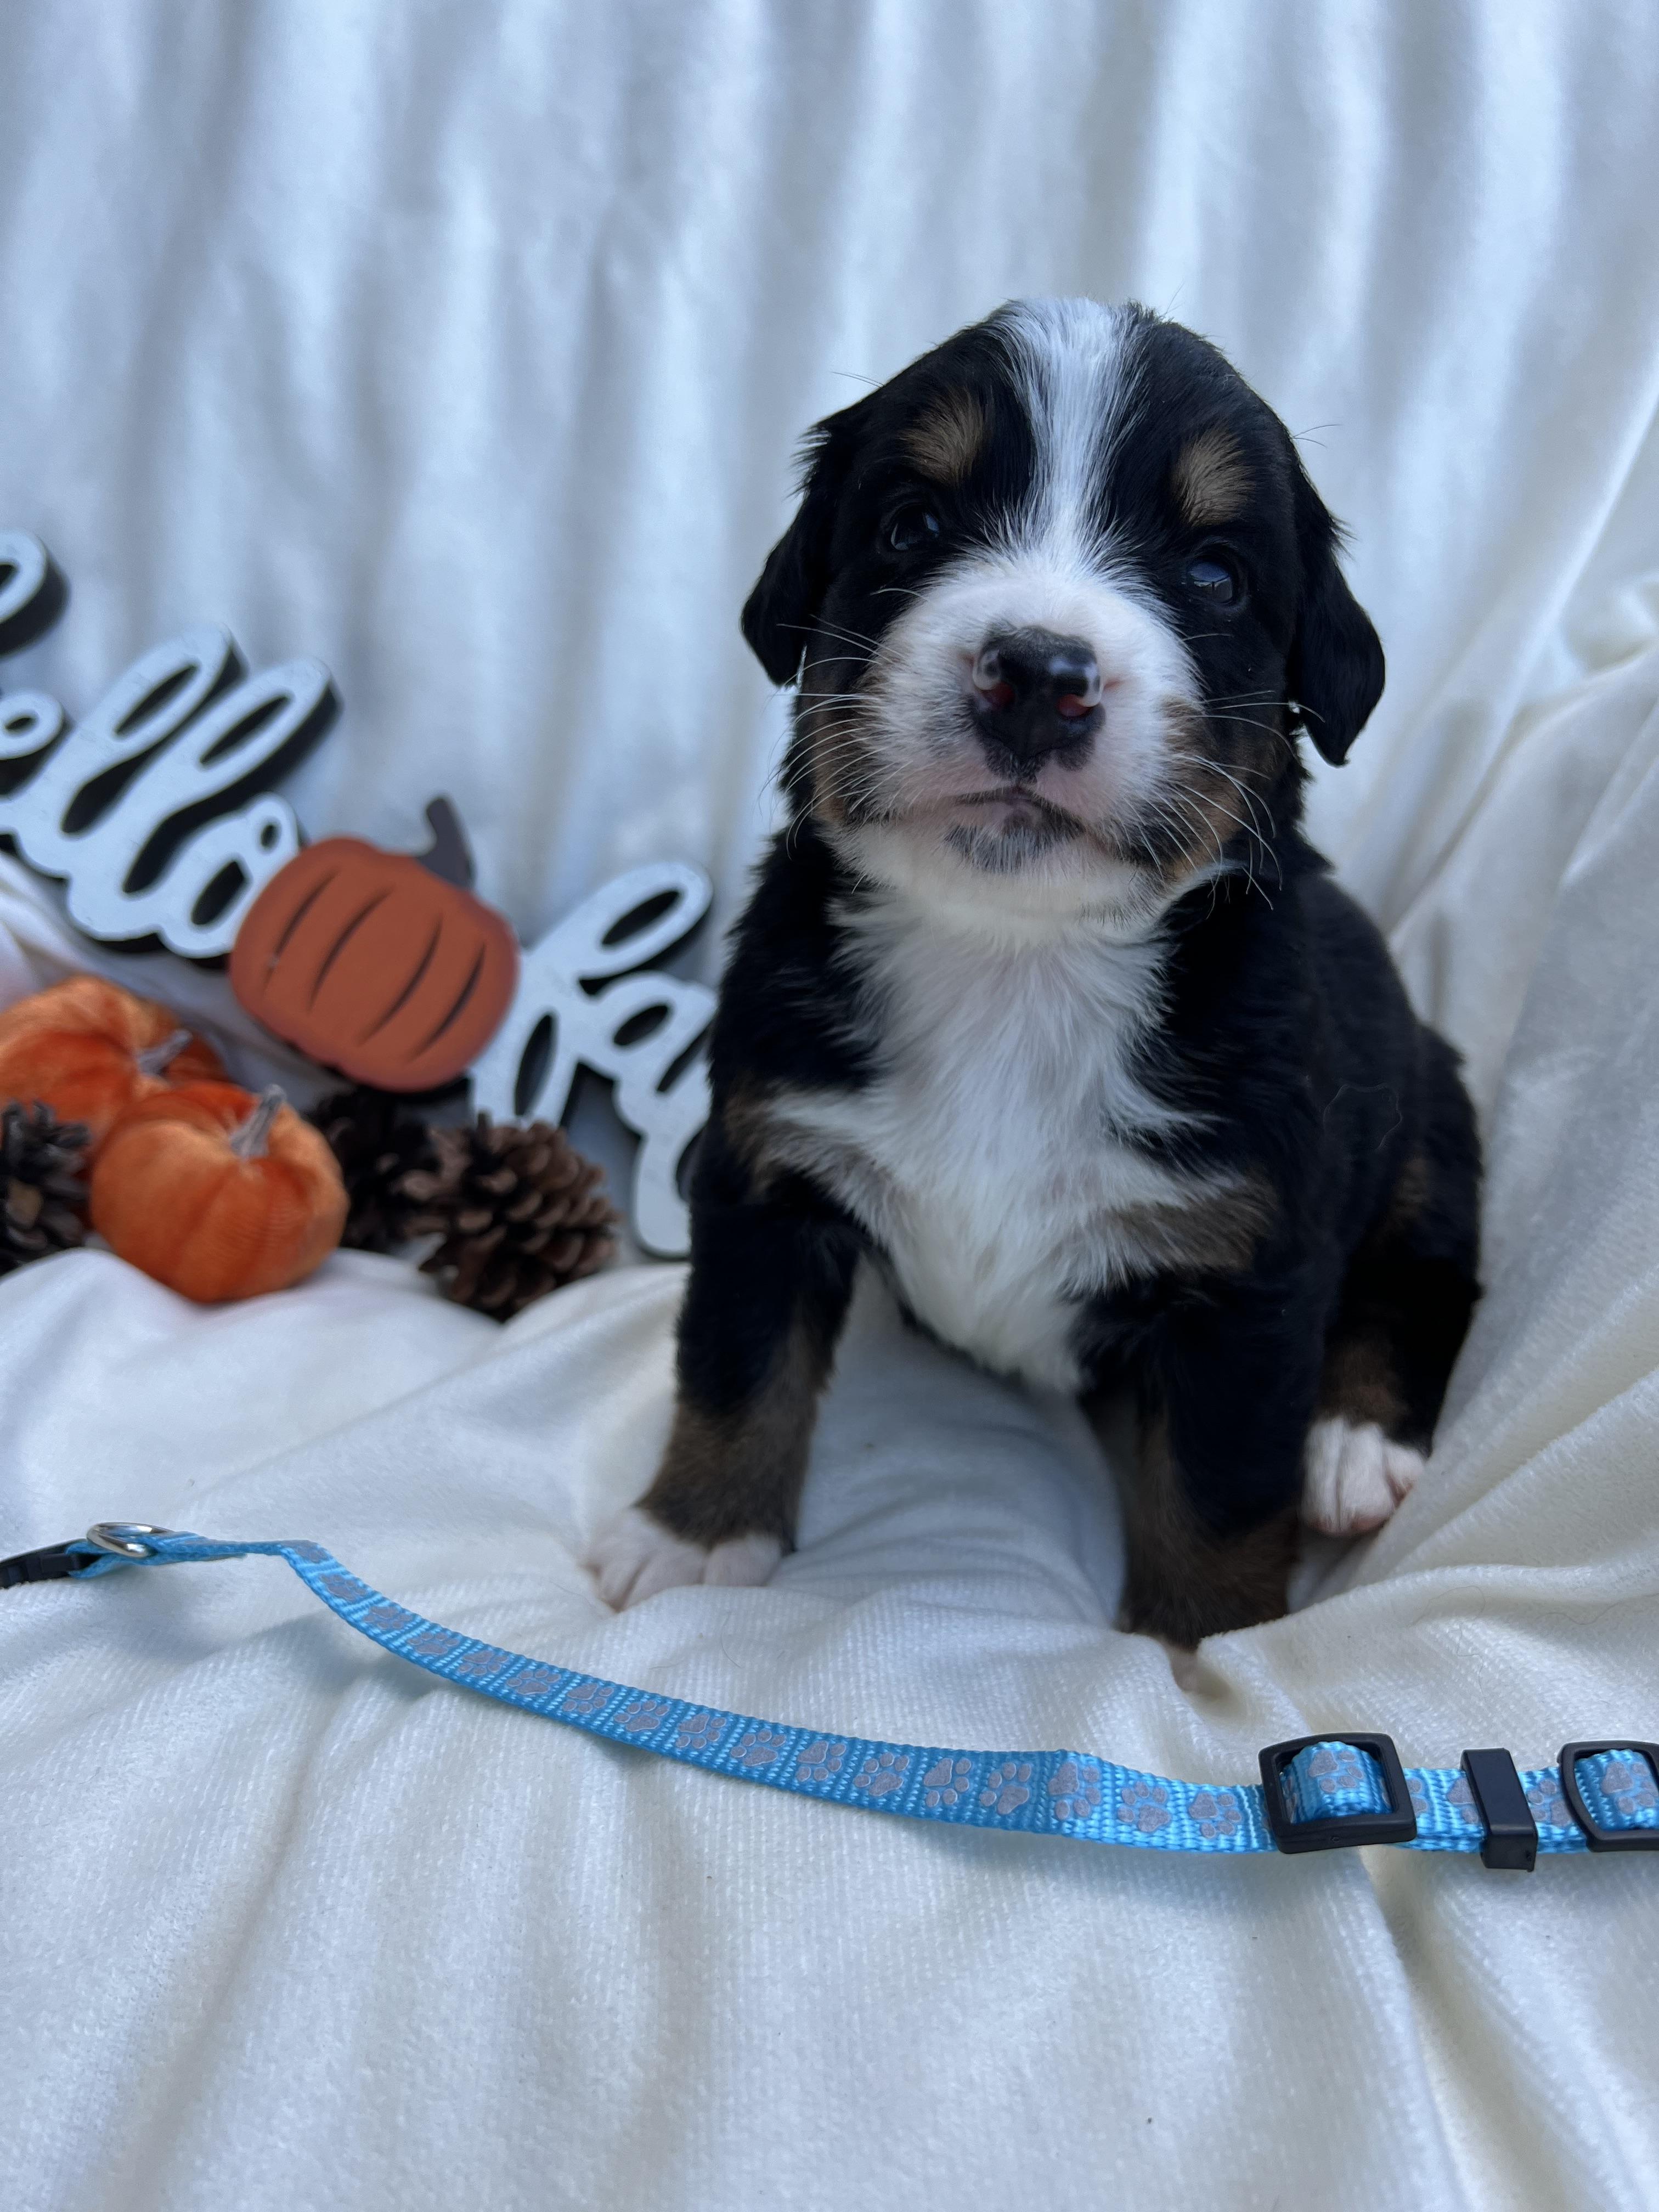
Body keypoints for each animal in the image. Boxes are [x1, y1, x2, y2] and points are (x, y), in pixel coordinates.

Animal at [588, 298, 1481, 1646]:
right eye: (913, 525)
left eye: (1213, 576)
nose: (1039, 675)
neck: (1014, 964)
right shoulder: (762, 1162)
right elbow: (739, 1365)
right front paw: (693, 1539)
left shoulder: (1247, 1268)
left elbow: (1220, 1489)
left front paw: (1199, 1645)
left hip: (1427, 1109)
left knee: (1429, 1270)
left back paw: (1351, 1442)